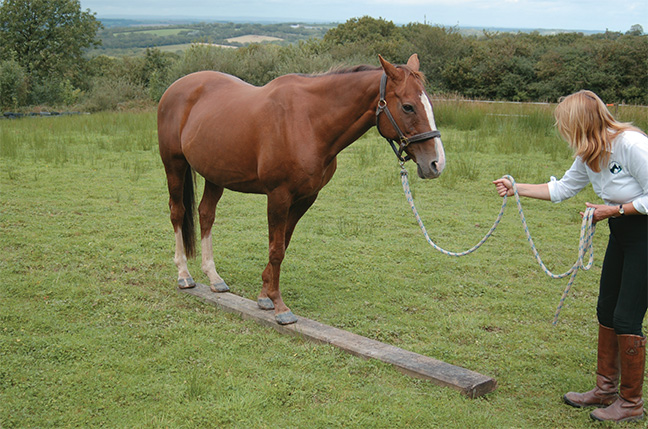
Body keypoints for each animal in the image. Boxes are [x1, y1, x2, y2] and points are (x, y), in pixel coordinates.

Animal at [158, 53, 446, 322]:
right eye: (408, 107)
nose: (436, 163)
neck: (308, 121)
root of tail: (176, 88)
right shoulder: (278, 196)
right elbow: (275, 250)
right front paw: (280, 306)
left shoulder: (305, 198)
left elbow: (282, 244)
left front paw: (264, 296)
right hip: (174, 165)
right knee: (177, 213)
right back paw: (184, 274)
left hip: (215, 175)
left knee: (206, 214)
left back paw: (214, 277)